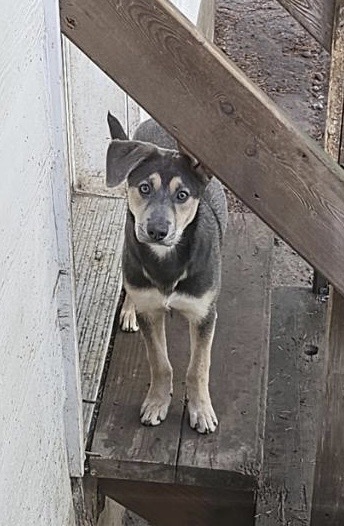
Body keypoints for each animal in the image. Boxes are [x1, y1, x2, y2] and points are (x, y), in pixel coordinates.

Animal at [106, 113, 227, 436]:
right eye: (144, 188)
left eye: (182, 195)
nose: (157, 231)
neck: (166, 260)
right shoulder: (150, 311)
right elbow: (160, 362)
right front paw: (157, 403)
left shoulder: (203, 315)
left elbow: (198, 367)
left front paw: (201, 411)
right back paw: (128, 310)